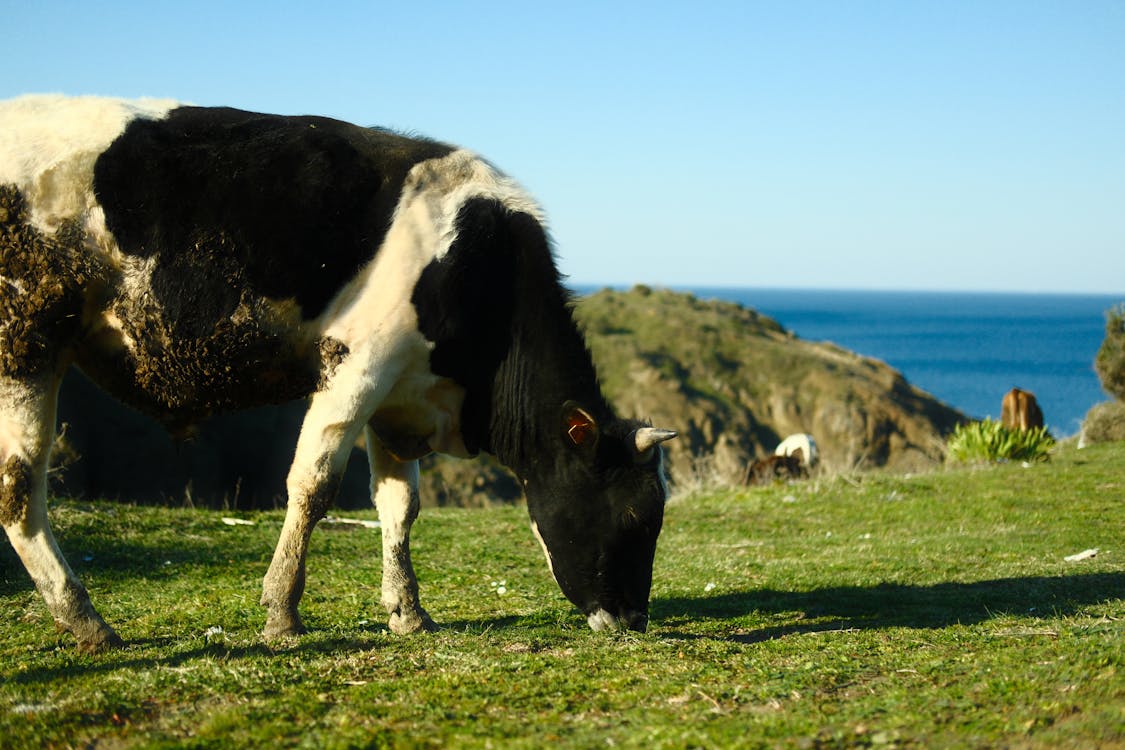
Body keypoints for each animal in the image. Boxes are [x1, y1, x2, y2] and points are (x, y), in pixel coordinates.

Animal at [0, 94, 676, 652]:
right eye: (636, 518)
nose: (634, 619)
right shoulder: (358, 362)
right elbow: (313, 486)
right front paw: (282, 614)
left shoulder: (400, 392)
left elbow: (399, 504)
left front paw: (408, 612)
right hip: (26, 341)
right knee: (19, 487)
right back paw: (86, 620)